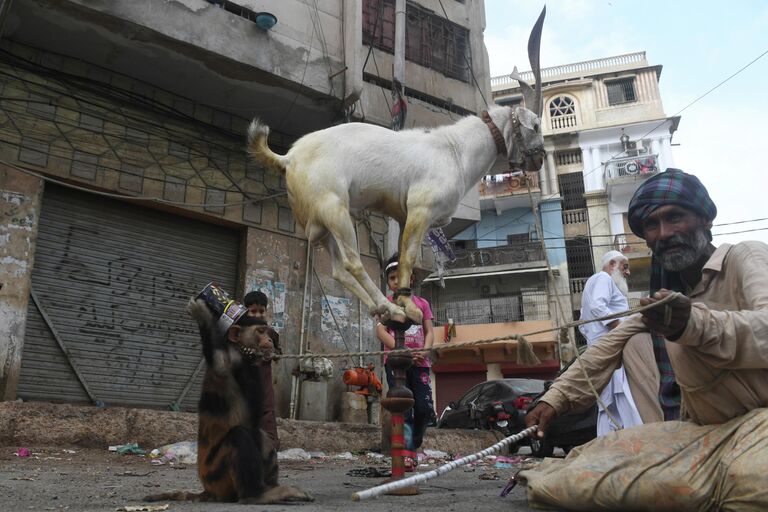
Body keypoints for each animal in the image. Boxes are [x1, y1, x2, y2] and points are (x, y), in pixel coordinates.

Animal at [248, 9, 544, 324]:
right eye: (536, 125)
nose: (539, 159)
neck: (455, 149)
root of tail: (288, 158)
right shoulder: (420, 210)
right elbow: (409, 257)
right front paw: (409, 305)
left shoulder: (404, 216)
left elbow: (403, 258)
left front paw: (404, 300)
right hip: (334, 208)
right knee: (352, 262)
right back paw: (389, 307)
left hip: (321, 223)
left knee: (338, 268)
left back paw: (381, 308)